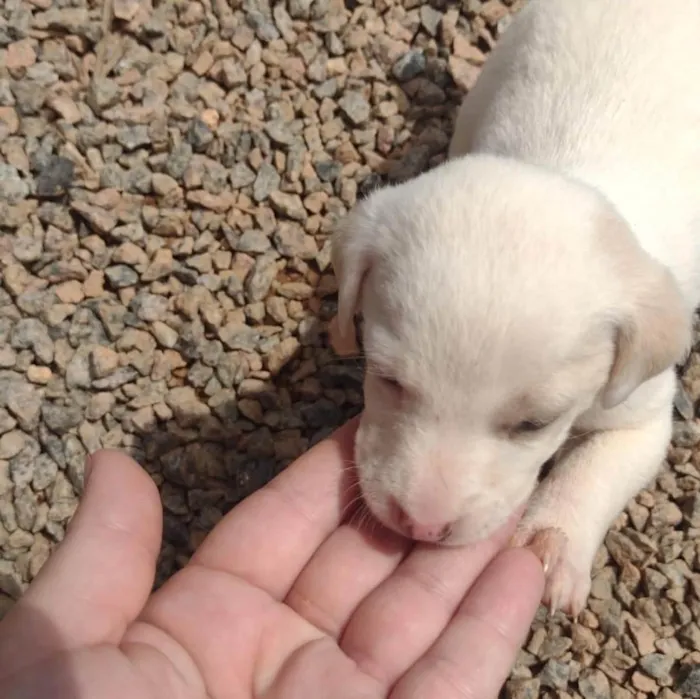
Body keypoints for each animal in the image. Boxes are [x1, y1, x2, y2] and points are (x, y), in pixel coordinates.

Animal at [330, 0, 700, 616]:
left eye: (535, 424)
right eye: (386, 379)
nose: (422, 527)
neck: (562, 164)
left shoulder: (642, 413)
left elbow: (593, 469)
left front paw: (550, 544)